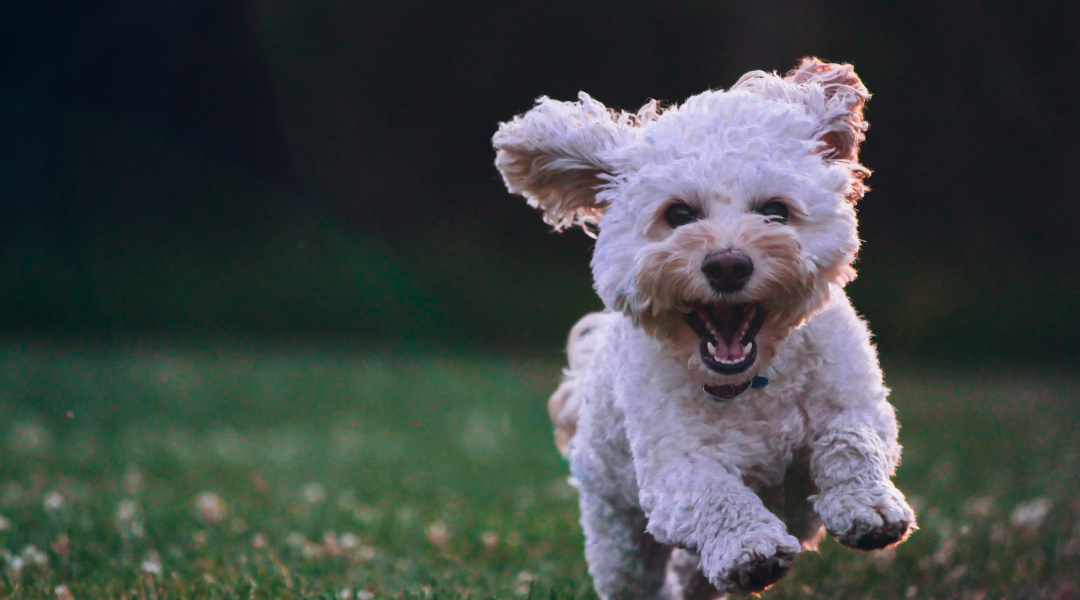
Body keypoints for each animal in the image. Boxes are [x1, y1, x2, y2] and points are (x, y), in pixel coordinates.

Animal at [494, 57, 915, 600]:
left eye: (775, 210)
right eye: (678, 213)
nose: (728, 265)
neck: (750, 383)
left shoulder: (855, 401)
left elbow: (852, 441)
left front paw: (868, 507)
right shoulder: (675, 467)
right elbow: (716, 495)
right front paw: (749, 548)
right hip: (617, 532)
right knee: (636, 573)